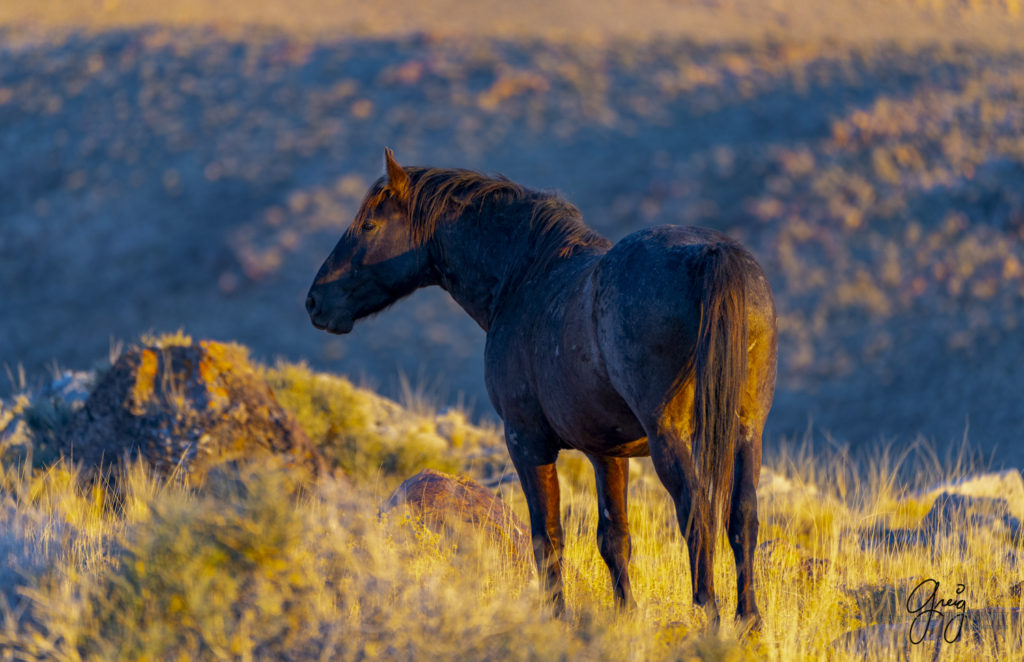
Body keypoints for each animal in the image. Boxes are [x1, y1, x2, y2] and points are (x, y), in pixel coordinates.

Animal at [303, 147, 774, 631]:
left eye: (369, 225)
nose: (315, 302)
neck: (524, 276)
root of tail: (709, 254)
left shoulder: (526, 442)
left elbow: (546, 537)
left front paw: (557, 618)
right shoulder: (608, 453)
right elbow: (614, 538)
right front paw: (625, 616)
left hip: (670, 438)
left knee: (697, 513)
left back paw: (709, 616)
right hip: (747, 431)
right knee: (743, 515)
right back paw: (749, 621)